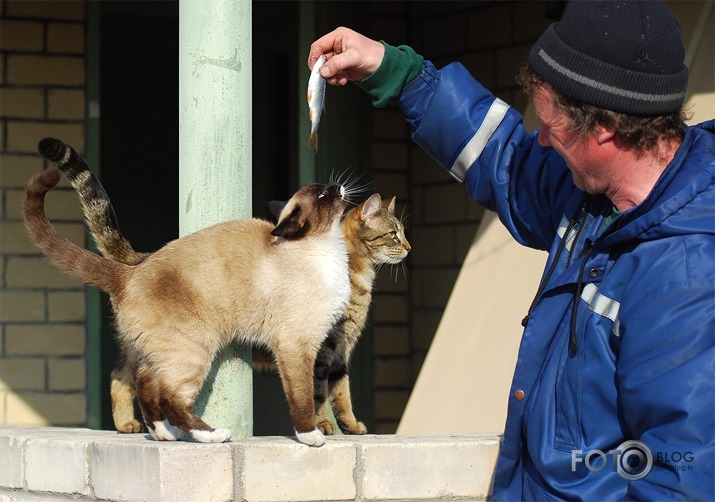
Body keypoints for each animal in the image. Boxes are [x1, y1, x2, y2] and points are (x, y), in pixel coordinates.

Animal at [23, 135, 354, 446]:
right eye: (323, 195)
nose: (338, 185)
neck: (328, 251)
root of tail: (130, 272)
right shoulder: (296, 346)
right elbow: (304, 397)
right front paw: (312, 436)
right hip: (195, 351)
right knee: (171, 398)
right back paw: (212, 434)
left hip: (162, 352)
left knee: (144, 382)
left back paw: (164, 433)